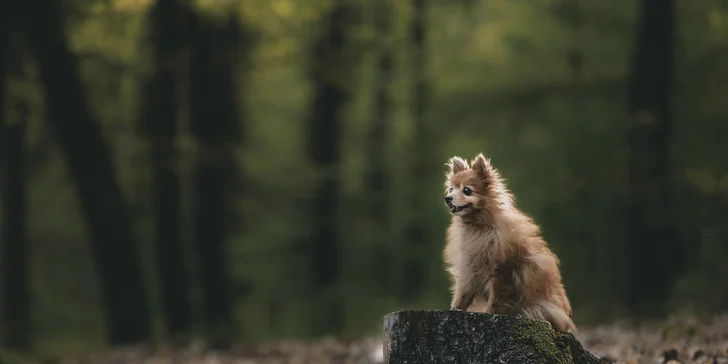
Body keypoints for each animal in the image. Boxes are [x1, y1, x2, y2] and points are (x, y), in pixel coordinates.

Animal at [440, 154, 576, 332]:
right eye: (451, 189)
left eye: (466, 190)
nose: (447, 198)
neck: (479, 227)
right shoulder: (469, 267)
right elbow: (463, 292)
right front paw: (454, 309)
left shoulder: (502, 271)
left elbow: (496, 298)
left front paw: (490, 313)